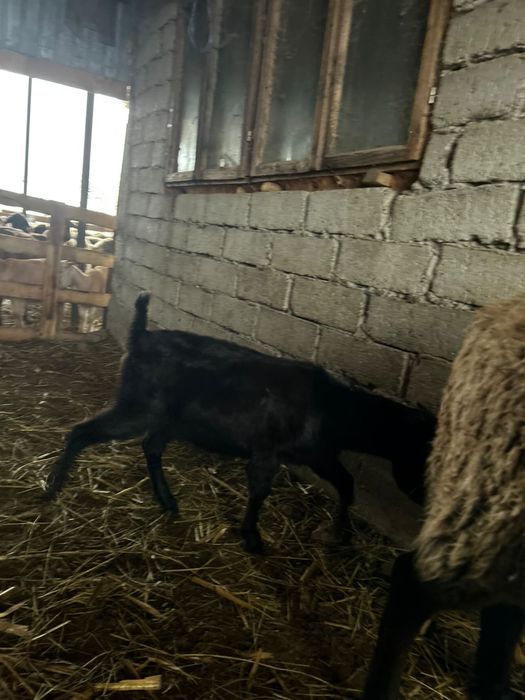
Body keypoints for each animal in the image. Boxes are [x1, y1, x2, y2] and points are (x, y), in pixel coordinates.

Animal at [45, 292, 435, 553]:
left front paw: (337, 534)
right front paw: (253, 538)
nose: (428, 500)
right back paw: (53, 486)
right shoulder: (267, 451)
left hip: (168, 417)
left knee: (150, 446)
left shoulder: (319, 454)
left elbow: (347, 483)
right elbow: (260, 490)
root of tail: (141, 335)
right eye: (426, 453)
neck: (332, 407)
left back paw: (168, 501)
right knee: (82, 431)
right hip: (138, 407)